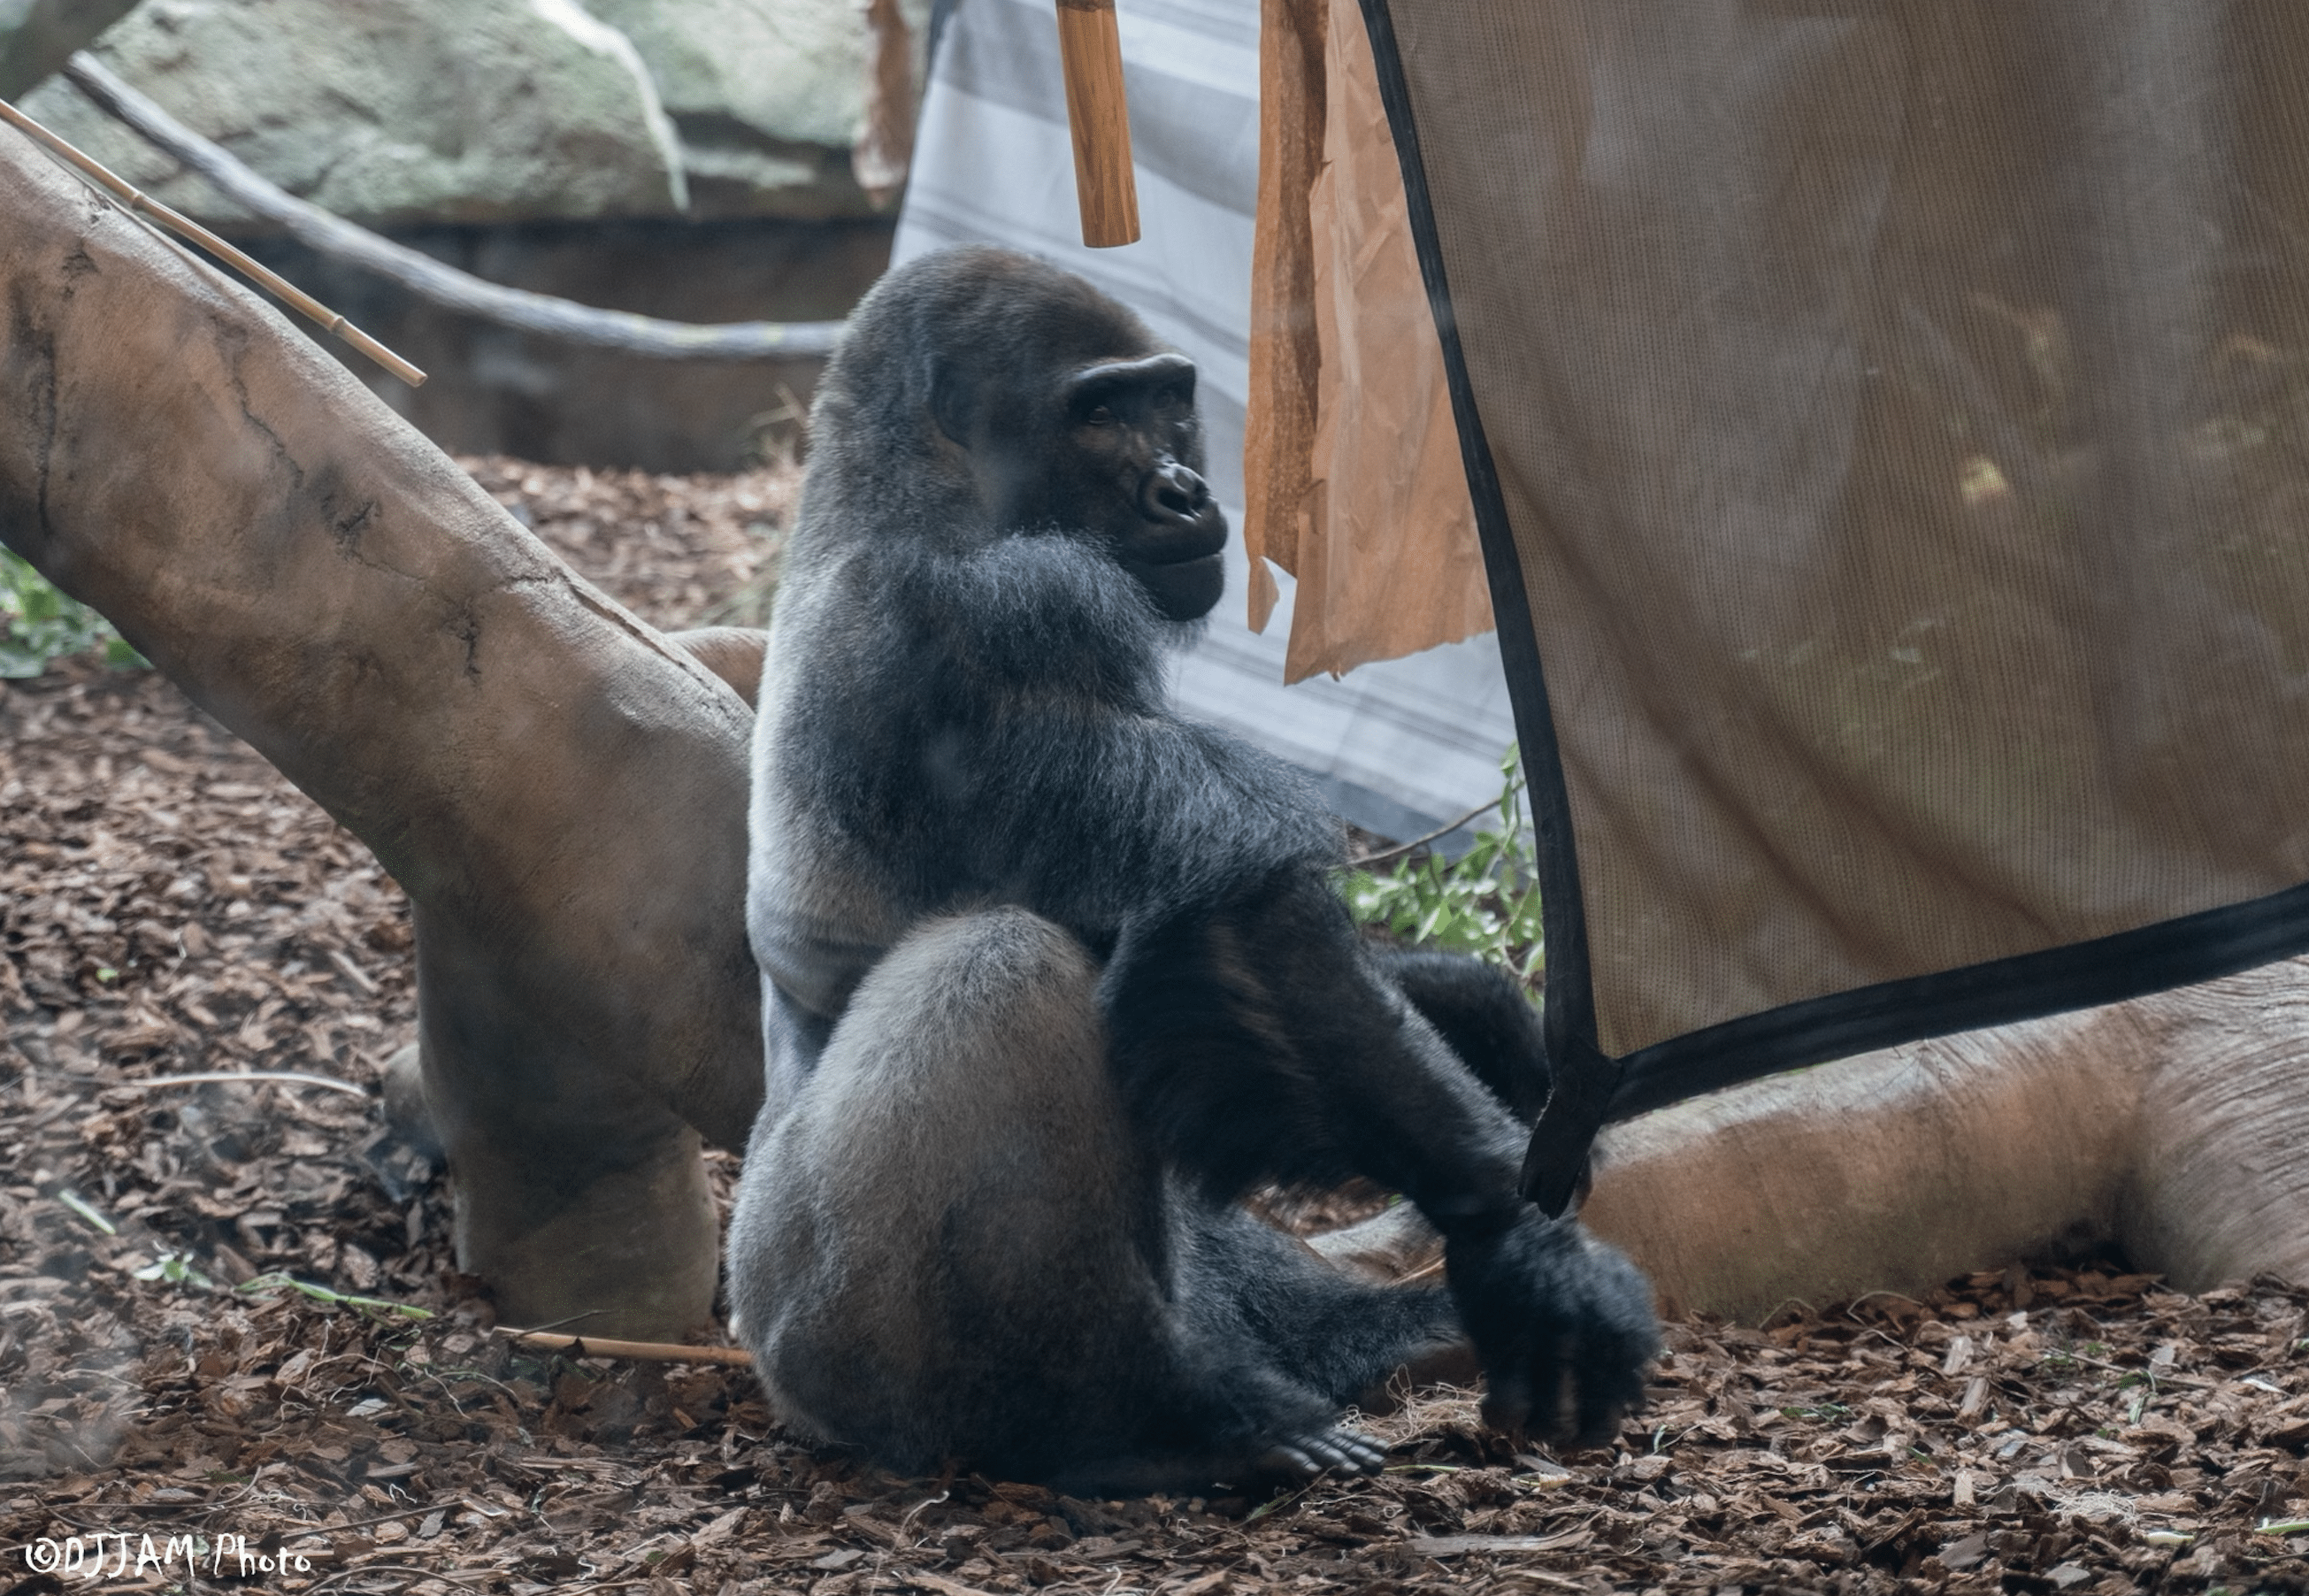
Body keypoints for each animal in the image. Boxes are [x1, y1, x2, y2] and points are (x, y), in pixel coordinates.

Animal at [728, 245, 1657, 1492]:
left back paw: (1367, 1338)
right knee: (1006, 967)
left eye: (1168, 399)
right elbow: (1236, 899)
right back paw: (1147, 1414)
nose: (1180, 488)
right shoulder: (1014, 610)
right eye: (1096, 413)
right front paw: (1519, 1247)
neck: (901, 487)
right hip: (818, 1344)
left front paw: (1476, 1011)